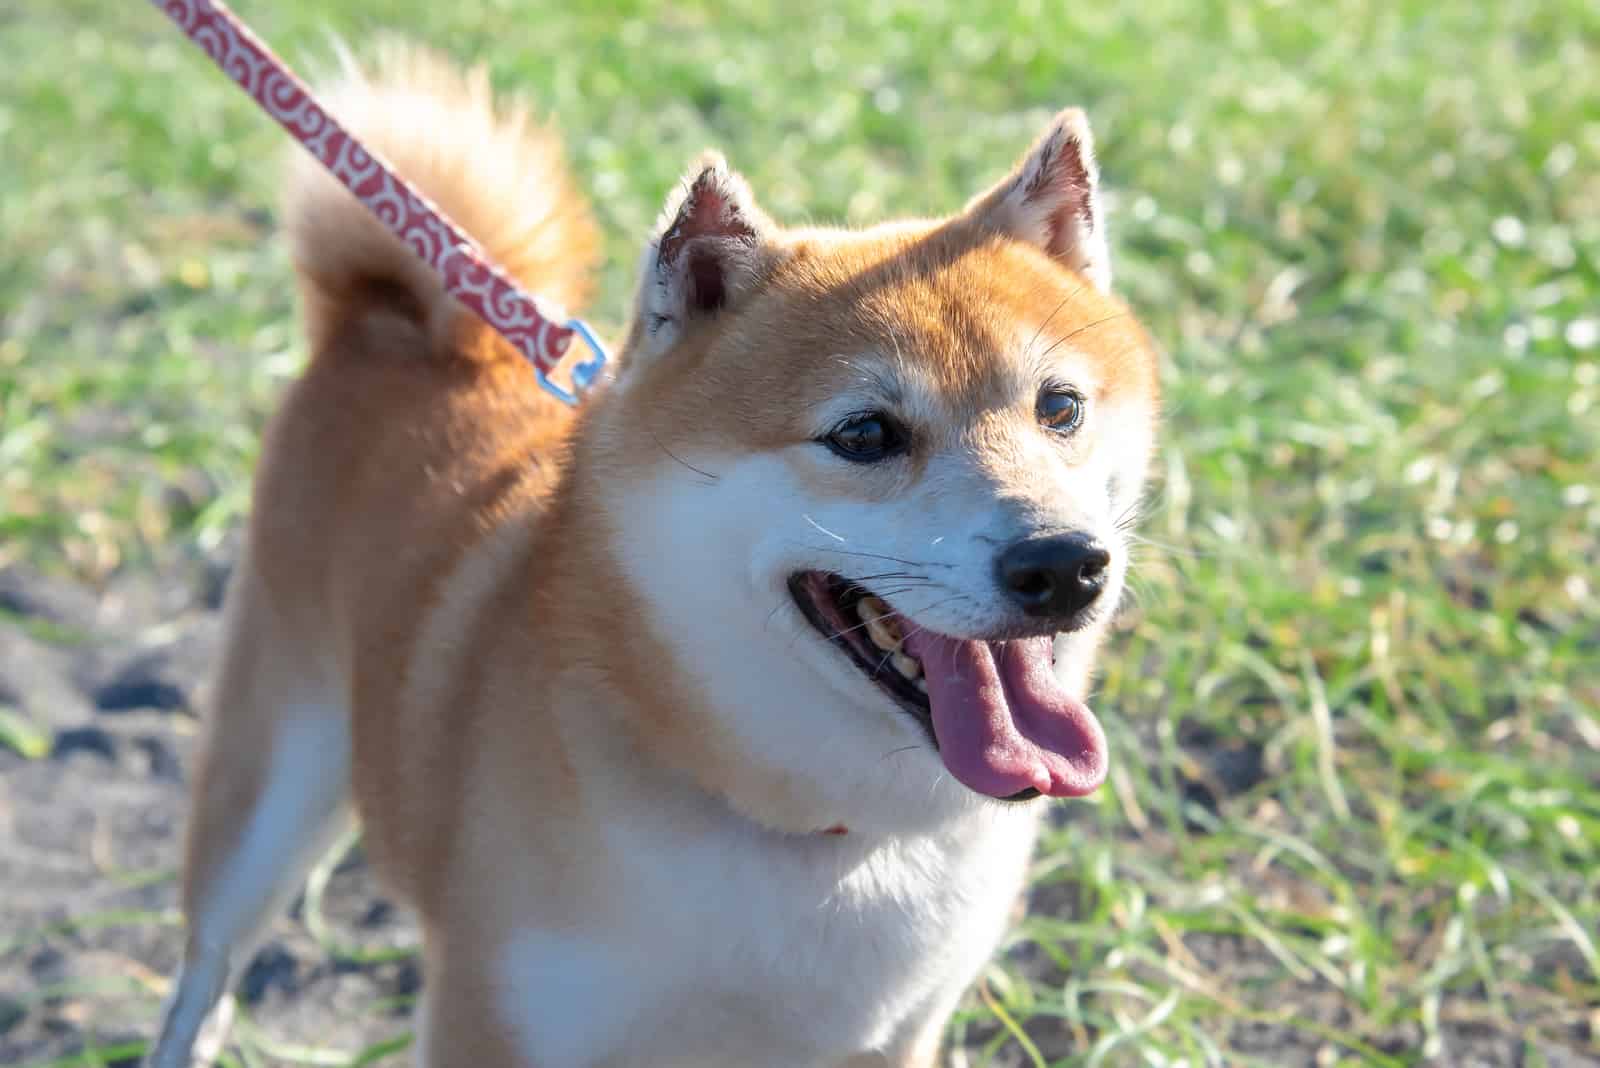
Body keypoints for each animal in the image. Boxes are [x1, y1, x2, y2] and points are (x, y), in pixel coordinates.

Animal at [150, 41, 1158, 1068]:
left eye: (1060, 407)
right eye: (866, 433)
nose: (1064, 565)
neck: (822, 831)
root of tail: (400, 322)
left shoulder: (899, 1034)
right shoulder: (497, 1020)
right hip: (268, 793)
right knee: (209, 971)